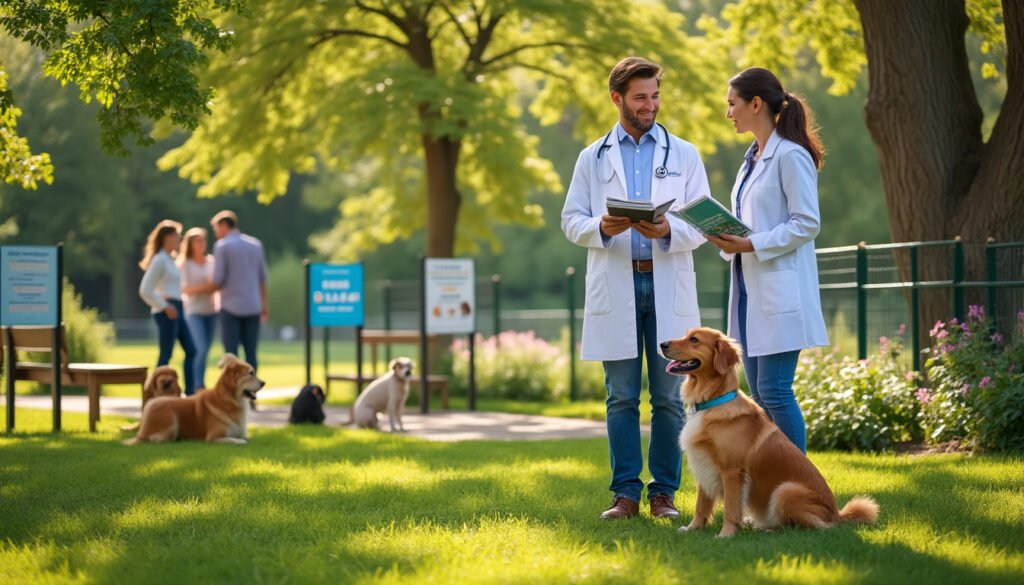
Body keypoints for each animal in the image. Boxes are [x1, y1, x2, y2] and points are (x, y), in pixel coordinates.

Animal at [124, 354, 266, 446]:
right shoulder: (213, 437)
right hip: (171, 422)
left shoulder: (243, 433)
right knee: (155, 439)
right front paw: (241, 441)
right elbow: (237, 440)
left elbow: (248, 437)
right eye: (251, 373)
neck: (229, 400)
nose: (263, 383)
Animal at [663, 327, 880, 536]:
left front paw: (726, 534)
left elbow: (731, 509)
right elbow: (701, 505)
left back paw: (767, 529)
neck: (713, 401)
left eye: (694, 339)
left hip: (785, 490)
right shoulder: (704, 464)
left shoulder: (732, 471)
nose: (662, 344)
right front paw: (693, 528)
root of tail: (837, 514)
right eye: (686, 335)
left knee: (808, 527)